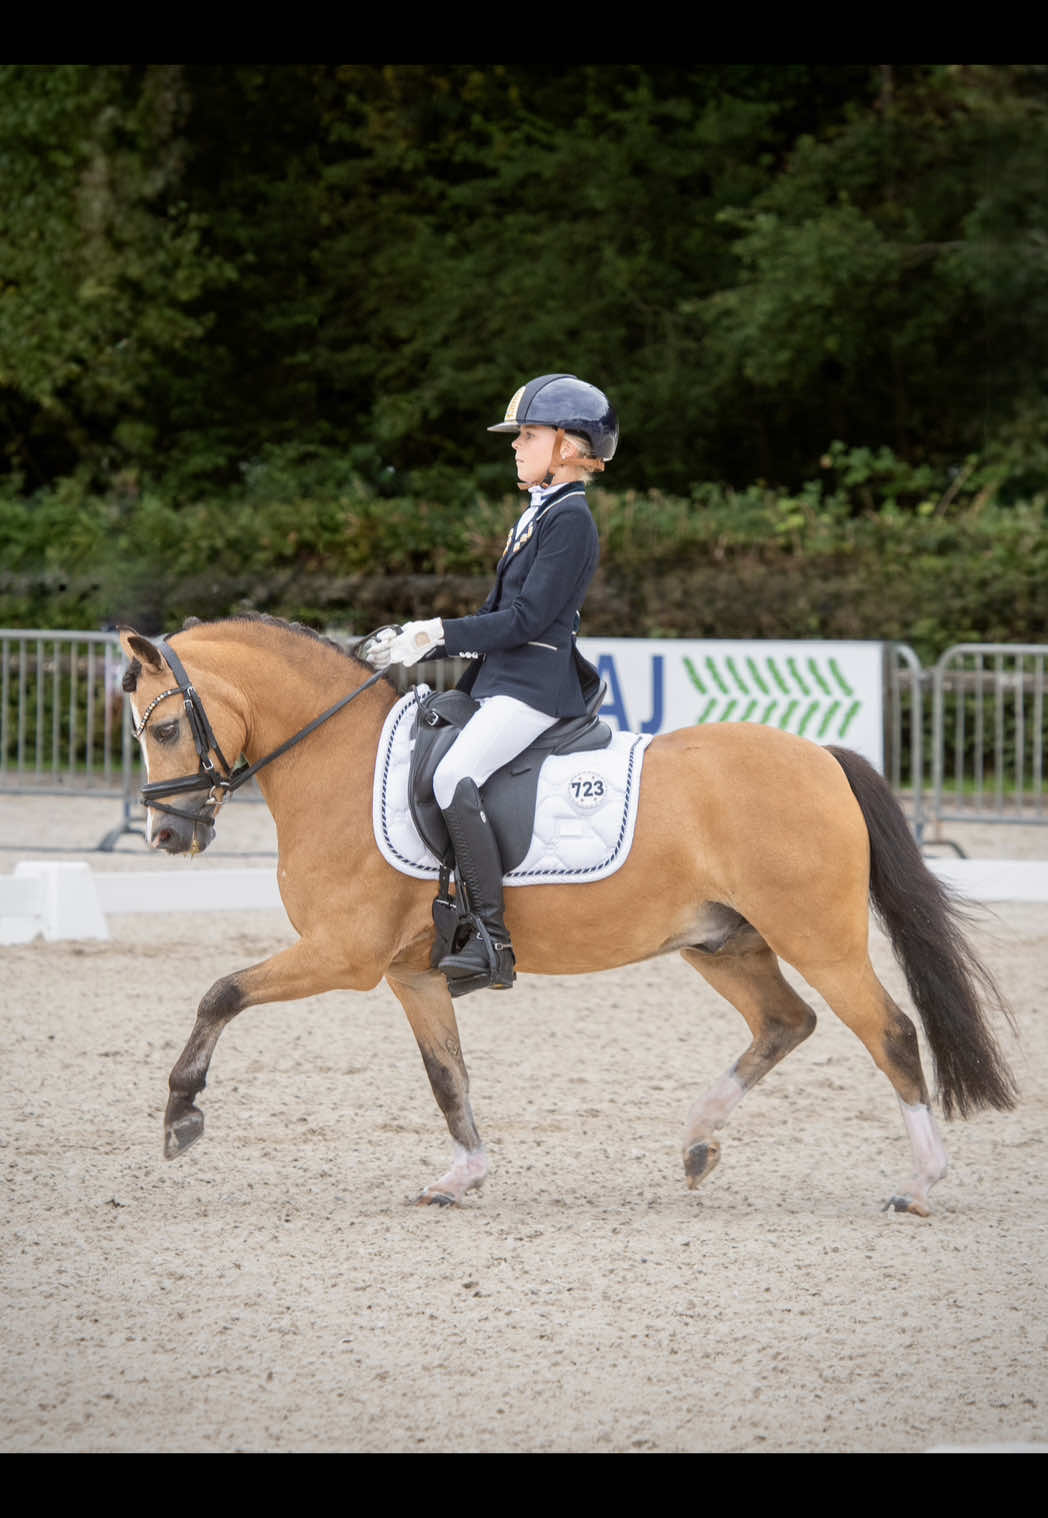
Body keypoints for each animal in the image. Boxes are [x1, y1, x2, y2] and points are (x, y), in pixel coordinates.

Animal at [118, 614, 1017, 1215]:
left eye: (163, 728)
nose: (168, 835)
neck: (336, 762)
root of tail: (822, 758)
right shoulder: (412, 975)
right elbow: (448, 1076)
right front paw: (462, 1176)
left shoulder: (344, 953)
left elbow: (221, 993)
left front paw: (180, 1116)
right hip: (722, 942)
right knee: (785, 1022)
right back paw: (698, 1141)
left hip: (819, 938)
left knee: (889, 1032)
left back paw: (919, 1184)